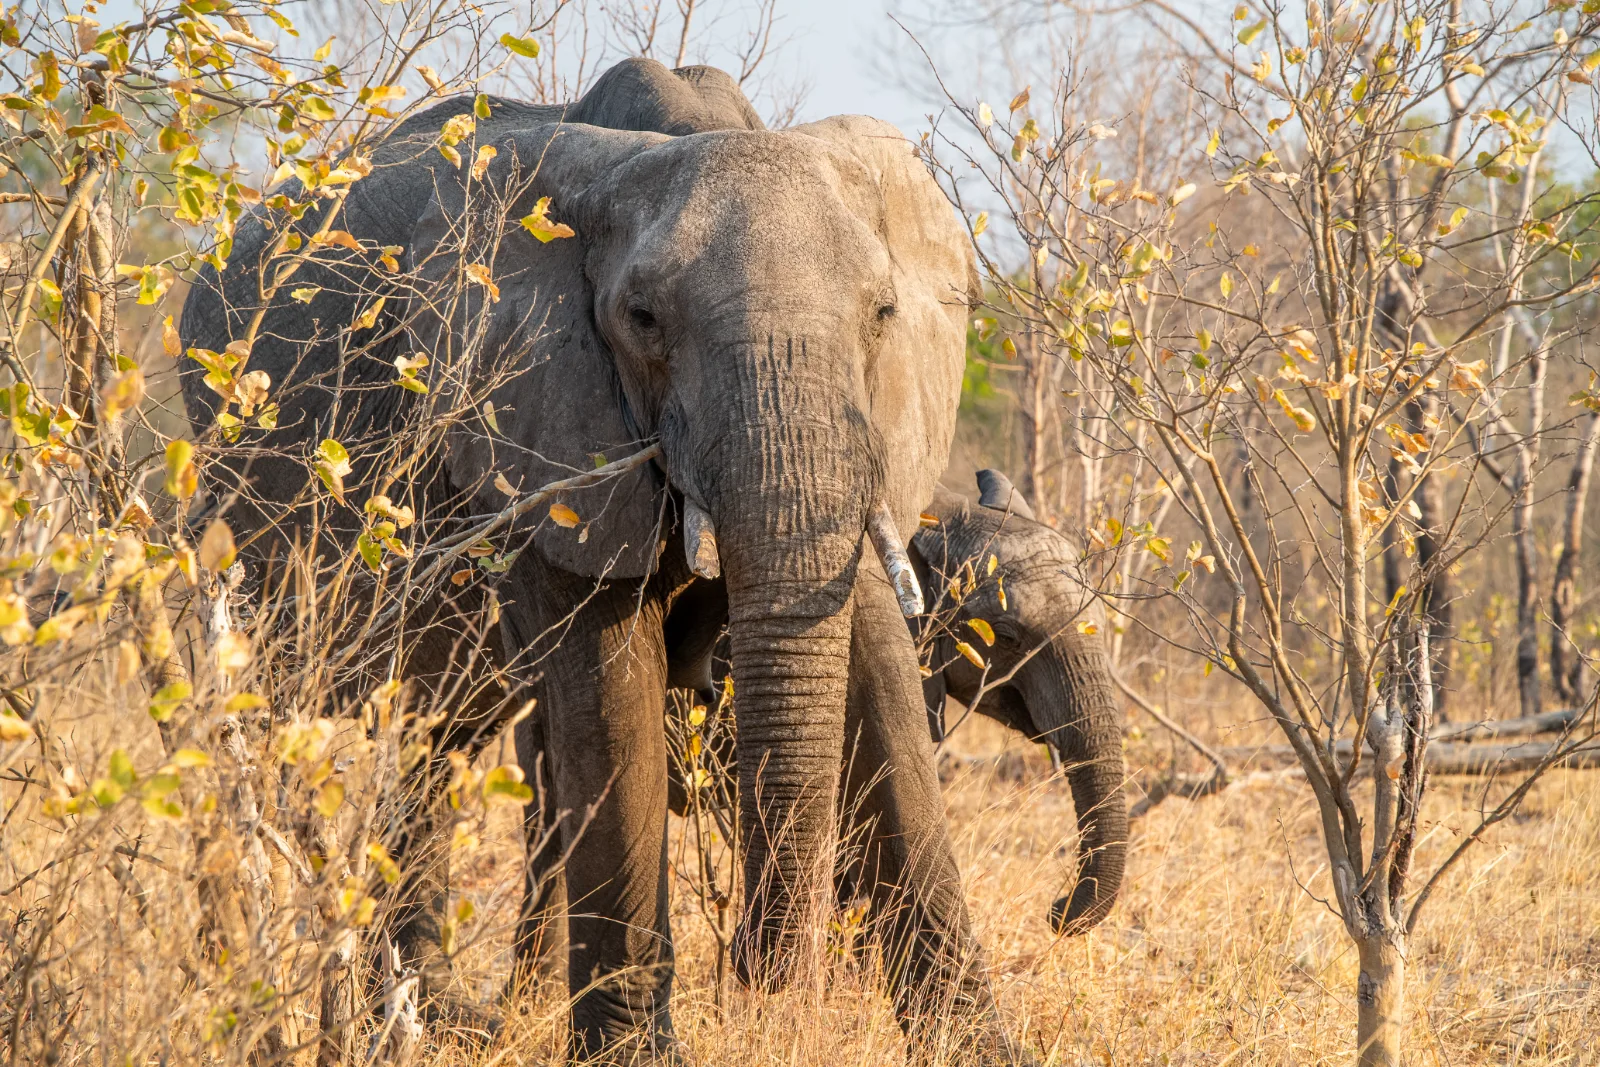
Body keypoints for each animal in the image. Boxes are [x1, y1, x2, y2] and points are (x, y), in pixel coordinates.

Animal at [179, 58, 1018, 1063]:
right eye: (643, 319)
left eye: (884, 313)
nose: (759, 972)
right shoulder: (536, 422)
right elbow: (612, 696)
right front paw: (634, 1055)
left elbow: (881, 682)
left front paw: (979, 1042)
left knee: (434, 734)